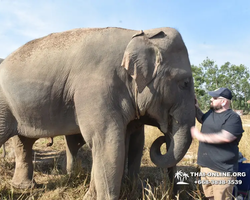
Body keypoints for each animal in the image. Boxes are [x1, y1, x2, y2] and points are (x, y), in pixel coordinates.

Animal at [0, 27, 195, 200]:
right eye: (184, 83)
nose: (173, 193)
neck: (139, 34)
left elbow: (112, 143)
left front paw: (90, 197)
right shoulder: (96, 87)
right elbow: (107, 141)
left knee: (24, 142)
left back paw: (24, 187)